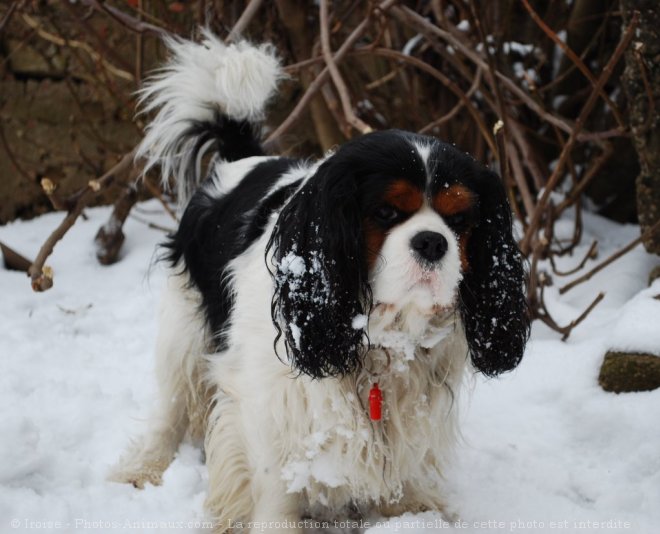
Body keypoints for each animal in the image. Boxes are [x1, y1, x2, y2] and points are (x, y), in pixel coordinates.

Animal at [112, 32, 532, 532]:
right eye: (385, 212)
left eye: (461, 219)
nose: (433, 242)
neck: (381, 335)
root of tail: (243, 157)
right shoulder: (268, 397)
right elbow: (275, 481)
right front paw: (275, 524)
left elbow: (408, 469)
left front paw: (416, 515)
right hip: (184, 329)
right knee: (171, 407)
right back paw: (144, 468)